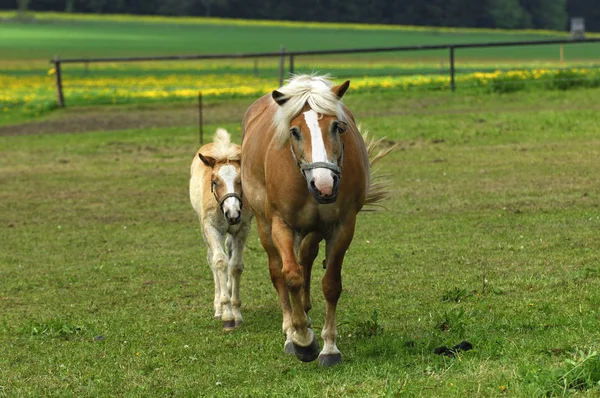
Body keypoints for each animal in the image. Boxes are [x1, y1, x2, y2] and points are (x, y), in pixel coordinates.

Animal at [189, 127, 252, 330]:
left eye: (241, 180)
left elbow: (235, 266)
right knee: (212, 259)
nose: (233, 212)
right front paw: (226, 315)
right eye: (215, 181)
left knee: (229, 250)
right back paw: (218, 307)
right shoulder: (211, 229)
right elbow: (219, 262)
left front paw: (236, 312)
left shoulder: (243, 228)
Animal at [241, 74, 392, 366]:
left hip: (312, 230)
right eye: (294, 131)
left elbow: (330, 284)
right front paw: (301, 340)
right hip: (266, 227)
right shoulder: (282, 225)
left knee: (307, 258)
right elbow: (291, 276)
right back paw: (290, 328)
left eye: (337, 127)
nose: (324, 184)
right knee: (278, 271)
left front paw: (329, 347)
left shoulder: (342, 227)